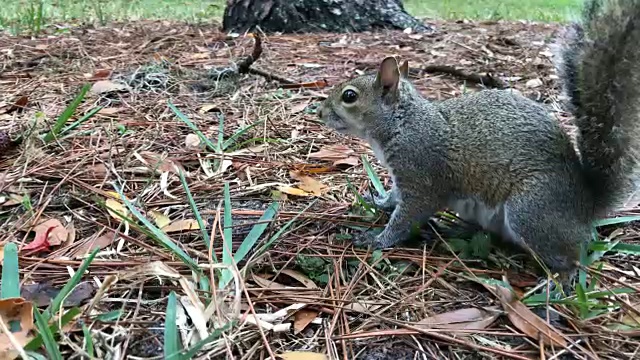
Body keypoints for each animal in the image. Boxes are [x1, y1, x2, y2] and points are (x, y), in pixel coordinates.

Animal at [318, 0, 640, 286]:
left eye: (349, 96)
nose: (319, 112)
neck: (403, 124)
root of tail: (586, 204)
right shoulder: (402, 177)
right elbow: (394, 198)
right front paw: (378, 201)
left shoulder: (422, 175)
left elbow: (408, 216)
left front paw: (376, 239)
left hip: (531, 210)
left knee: (571, 256)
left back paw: (559, 279)